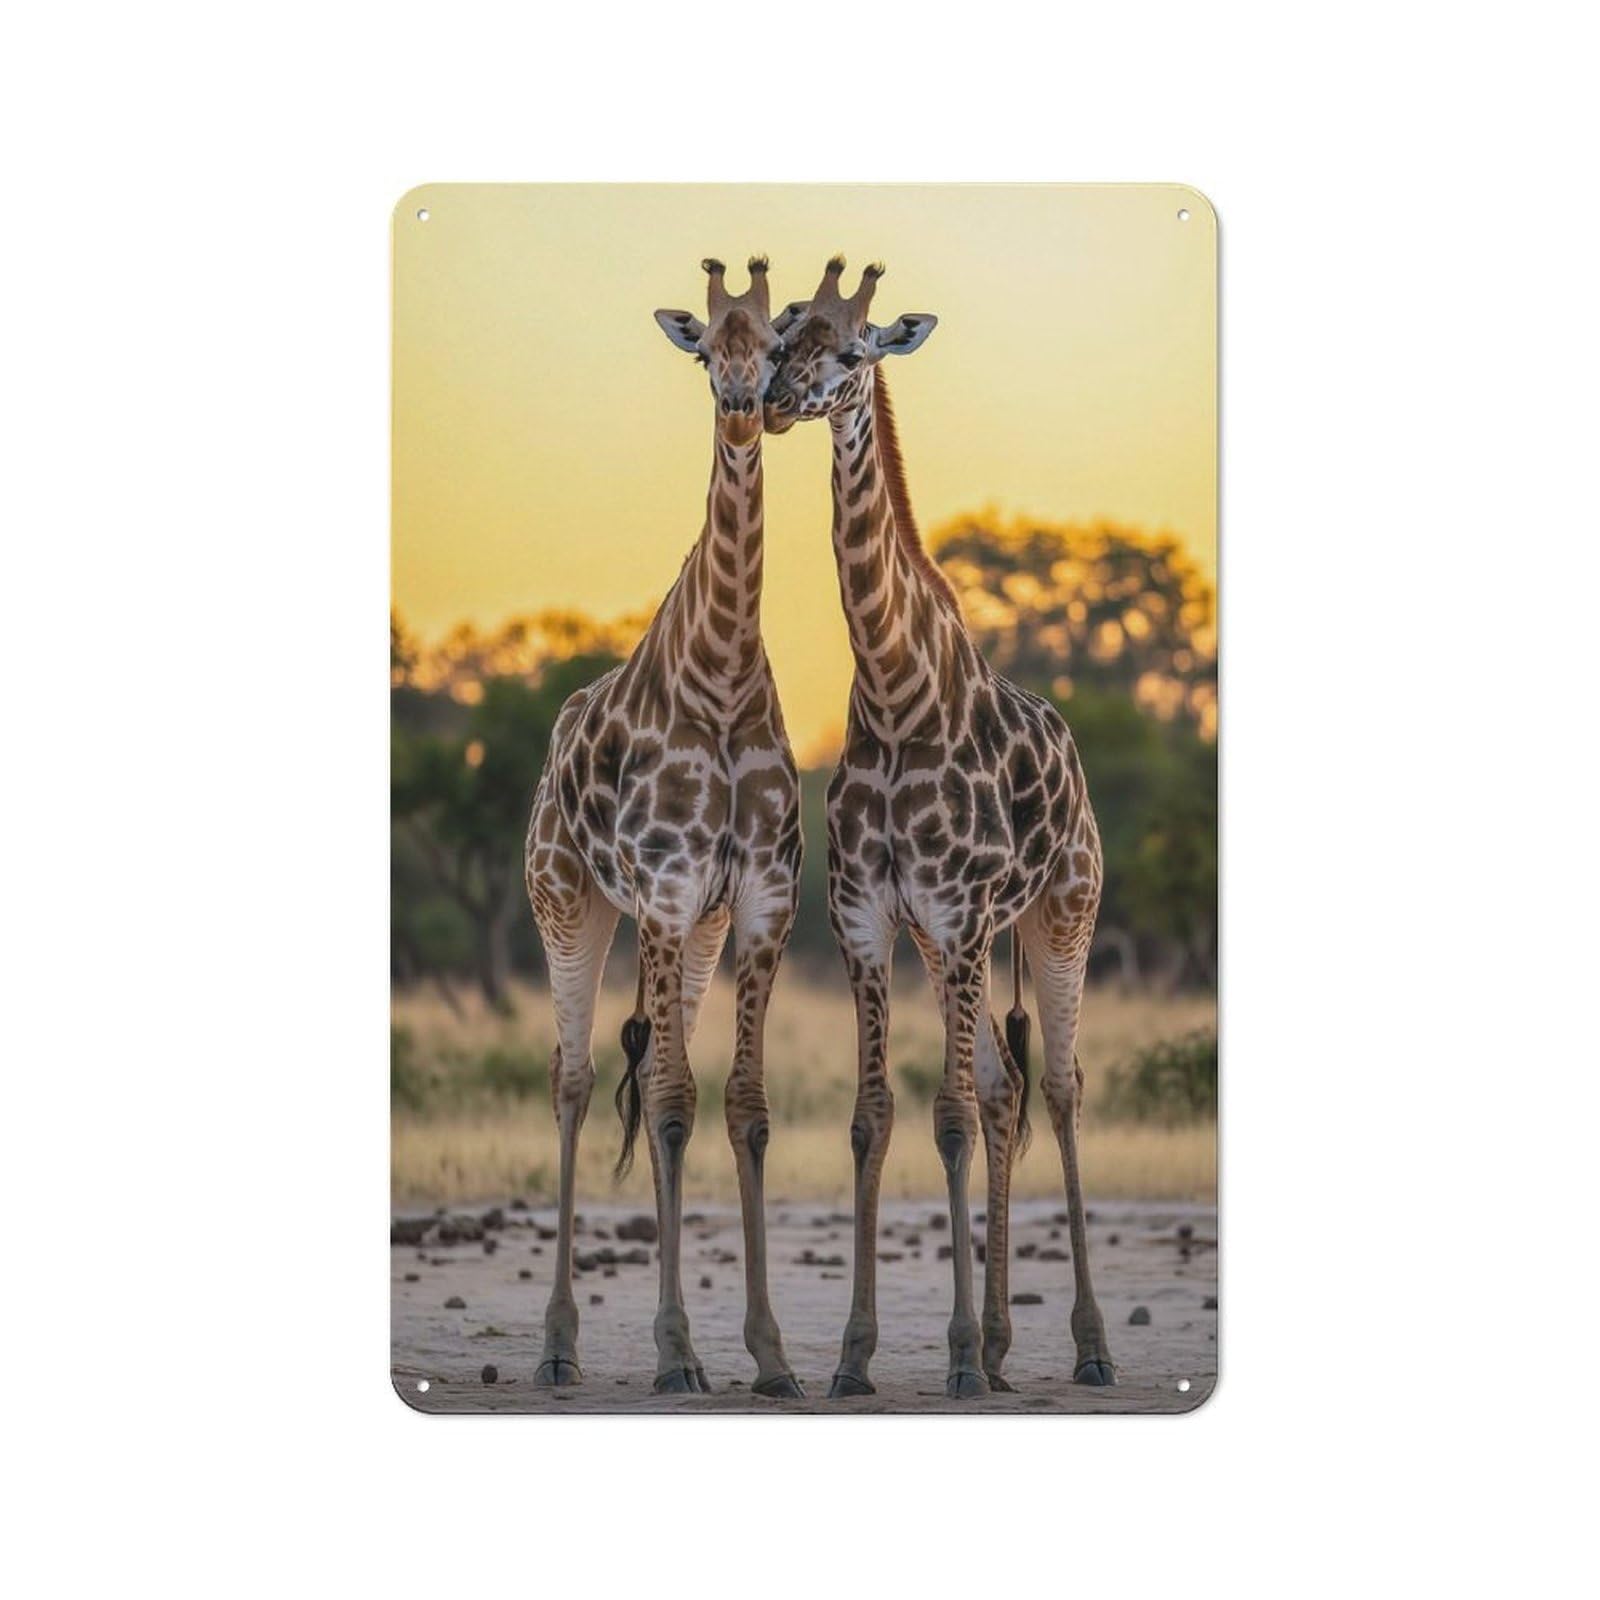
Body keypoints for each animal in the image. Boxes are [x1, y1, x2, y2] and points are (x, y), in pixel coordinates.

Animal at [764, 256, 1116, 1398]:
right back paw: (1006, 1346)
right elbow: (875, 1118)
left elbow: (950, 1119)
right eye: (781, 334)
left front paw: (955, 1357)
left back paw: (1085, 1348)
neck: (892, 695)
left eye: (851, 346)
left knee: (1057, 1088)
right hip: (955, 943)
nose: (775, 400)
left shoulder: (960, 918)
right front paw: (853, 1357)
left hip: (1059, 913)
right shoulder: (872, 922)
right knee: (1005, 1090)